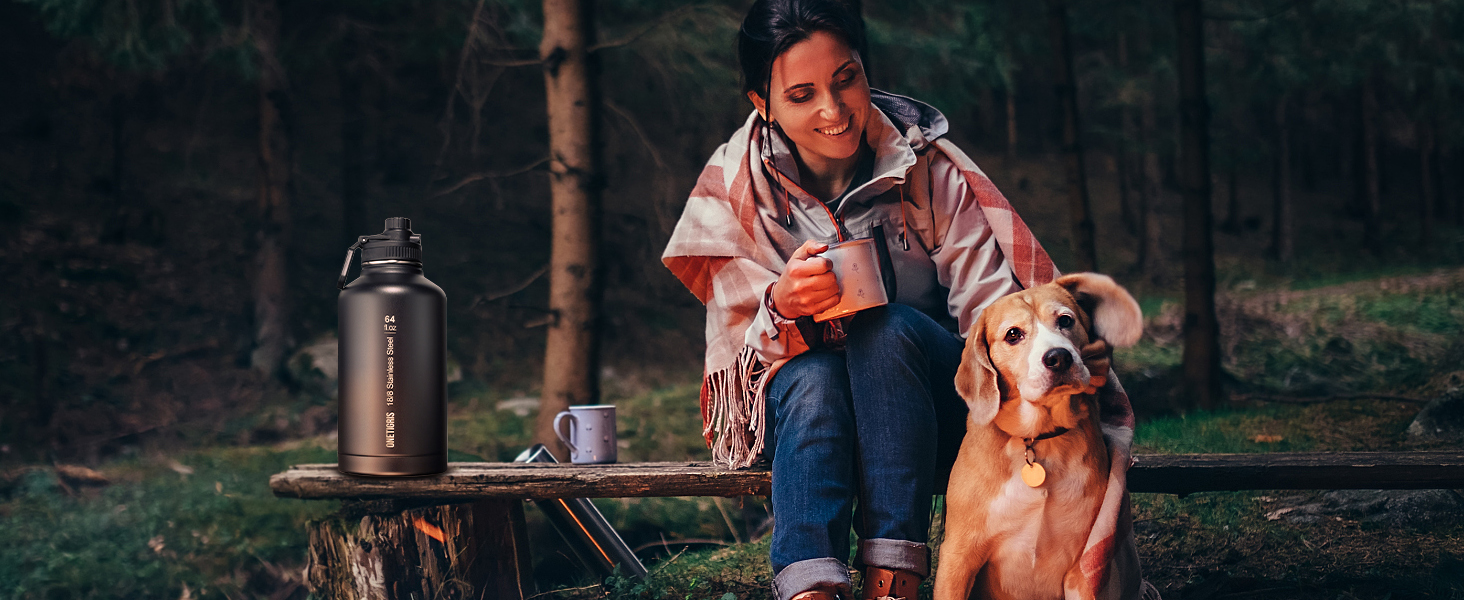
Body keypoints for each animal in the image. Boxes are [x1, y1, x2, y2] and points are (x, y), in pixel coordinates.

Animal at [936, 273, 1141, 600]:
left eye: (1066, 320)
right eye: (1013, 335)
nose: (1059, 357)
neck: (1038, 439)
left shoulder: (1082, 572)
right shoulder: (958, 556)